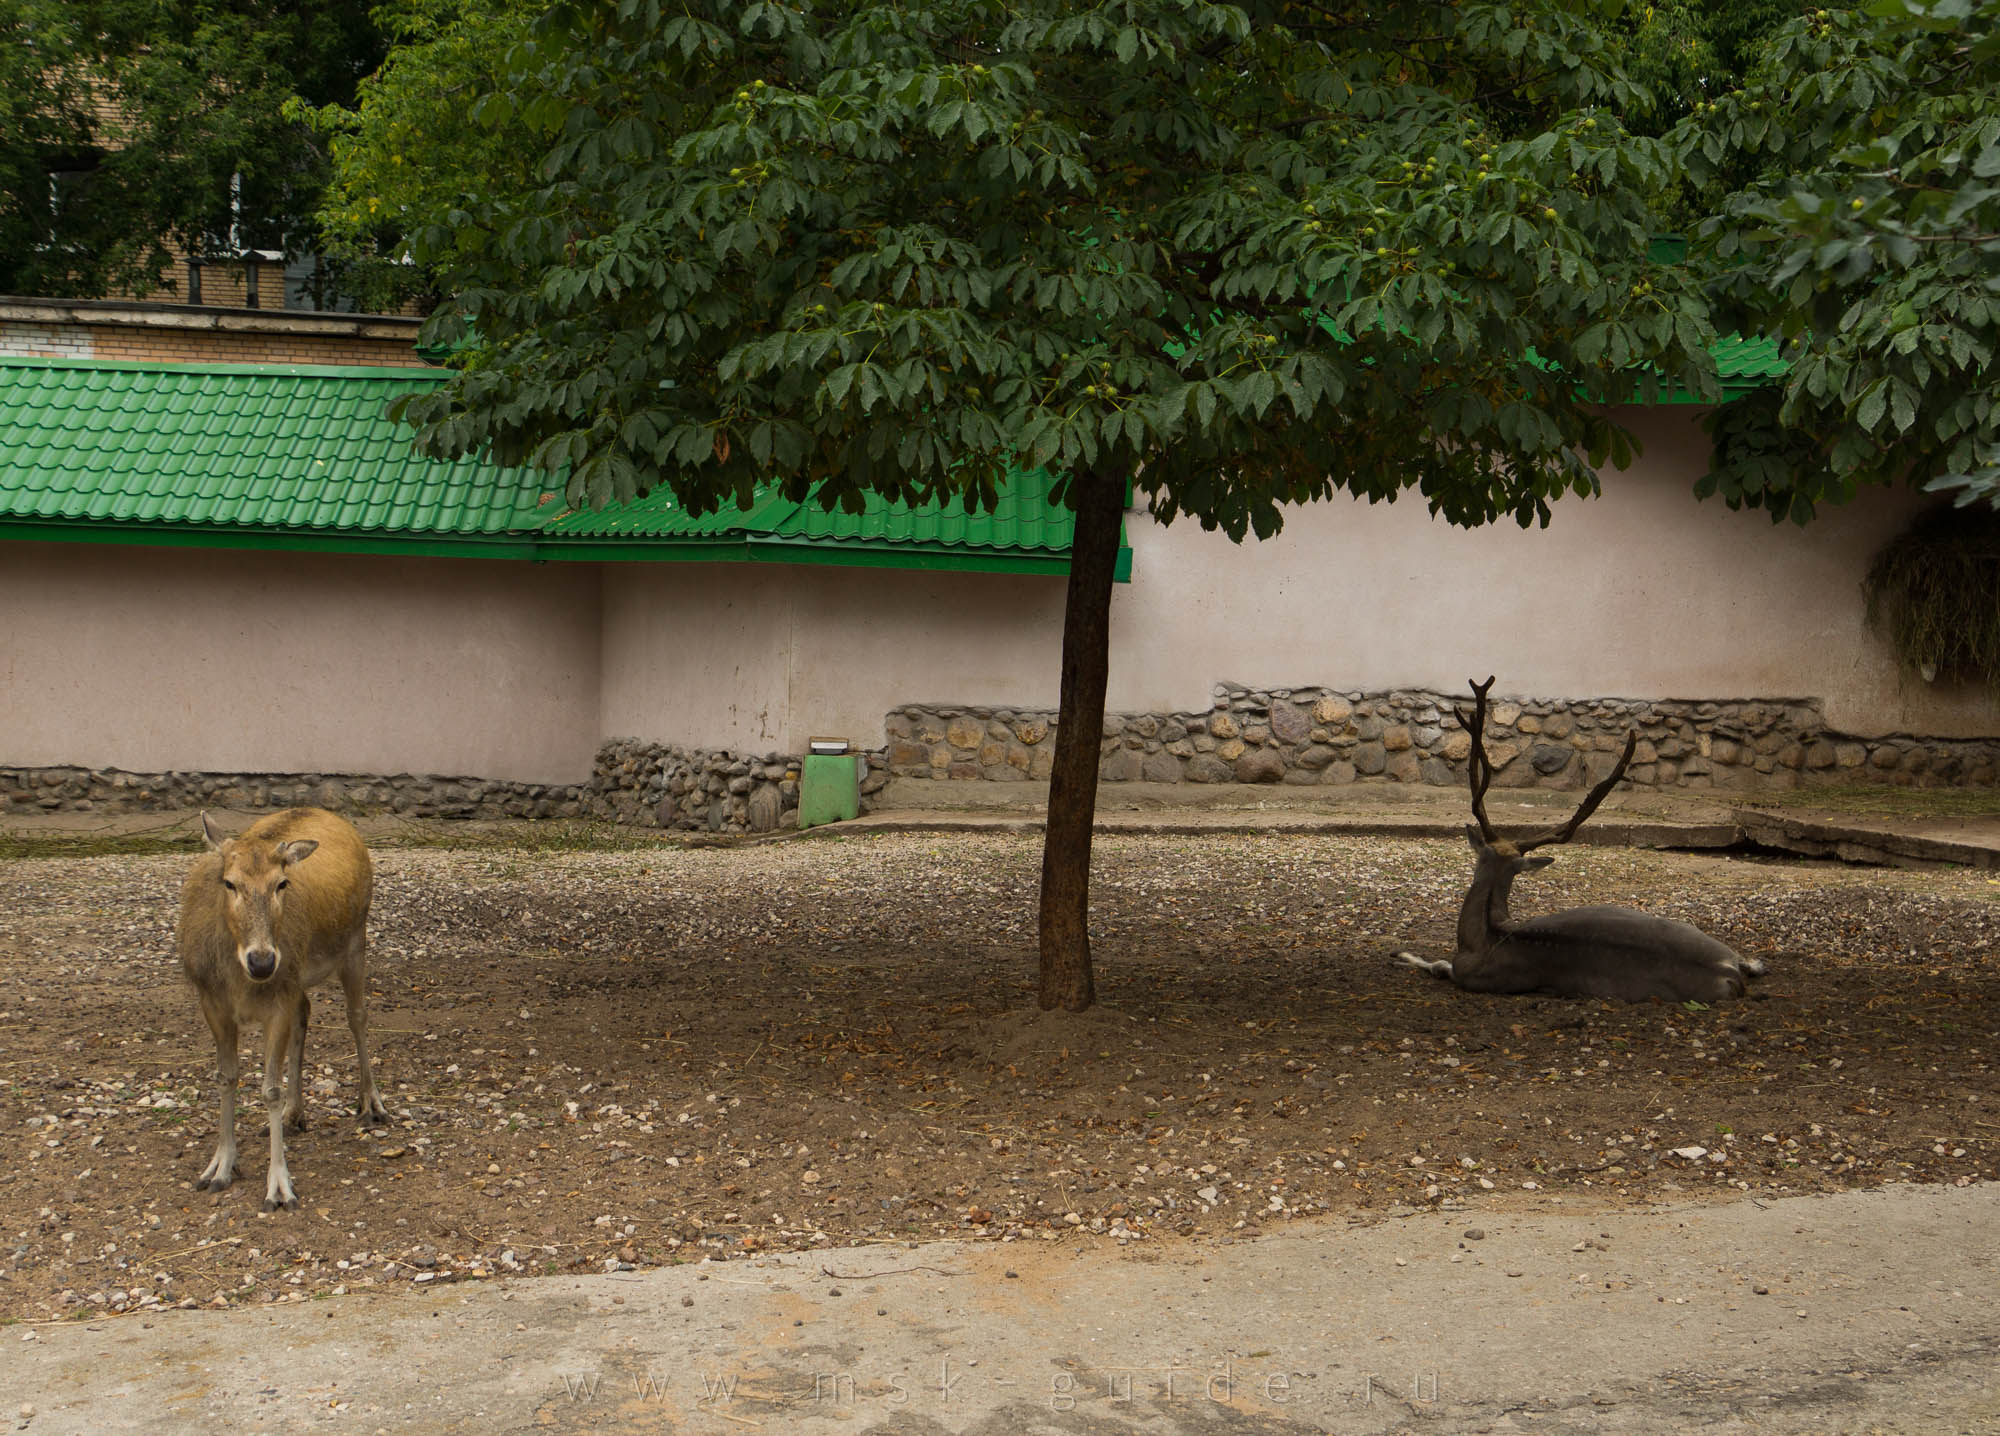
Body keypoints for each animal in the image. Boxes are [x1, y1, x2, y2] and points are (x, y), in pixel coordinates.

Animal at [177, 808, 388, 1211]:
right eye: (229, 883)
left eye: (281, 884)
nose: (262, 961)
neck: (240, 981)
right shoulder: (212, 1002)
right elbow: (226, 1077)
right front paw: (219, 1167)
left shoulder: (278, 1000)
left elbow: (270, 1090)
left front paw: (279, 1187)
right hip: (299, 980)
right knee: (305, 1010)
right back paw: (295, 1114)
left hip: (356, 940)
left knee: (358, 1016)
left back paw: (371, 1103)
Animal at [1395, 678, 1768, 1003]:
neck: (1484, 940)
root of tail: (1727, 971)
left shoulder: (1470, 975)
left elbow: (1439, 965)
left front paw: (1404, 954)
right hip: (1701, 935)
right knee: (1755, 961)